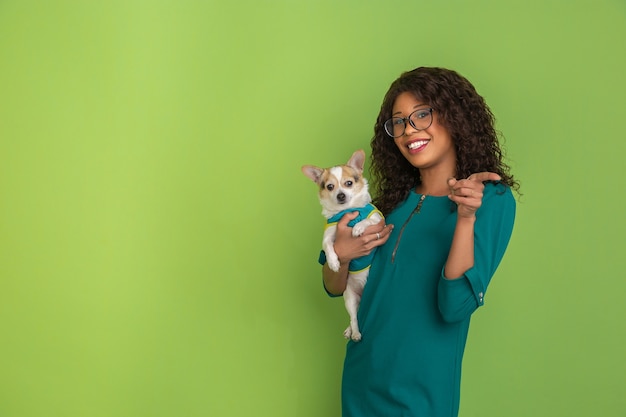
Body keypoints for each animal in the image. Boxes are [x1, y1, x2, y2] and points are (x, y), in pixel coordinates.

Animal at [302, 150, 382, 342]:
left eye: (349, 183)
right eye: (330, 187)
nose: (341, 195)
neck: (348, 211)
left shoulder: (379, 223)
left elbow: (367, 221)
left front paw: (359, 227)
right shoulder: (329, 235)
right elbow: (328, 246)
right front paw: (333, 263)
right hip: (349, 298)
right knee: (354, 317)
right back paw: (354, 332)